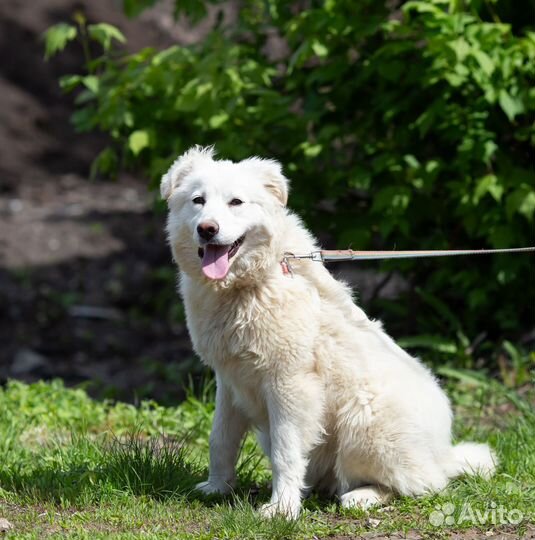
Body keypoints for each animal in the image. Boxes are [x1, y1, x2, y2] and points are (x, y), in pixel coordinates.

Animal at [161, 147, 496, 520]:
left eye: (236, 202)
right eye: (198, 201)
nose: (208, 229)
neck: (251, 284)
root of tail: (443, 456)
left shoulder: (289, 384)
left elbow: (285, 451)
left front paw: (282, 508)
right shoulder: (229, 380)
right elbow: (220, 439)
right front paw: (217, 487)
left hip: (365, 418)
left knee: (420, 485)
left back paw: (362, 496)